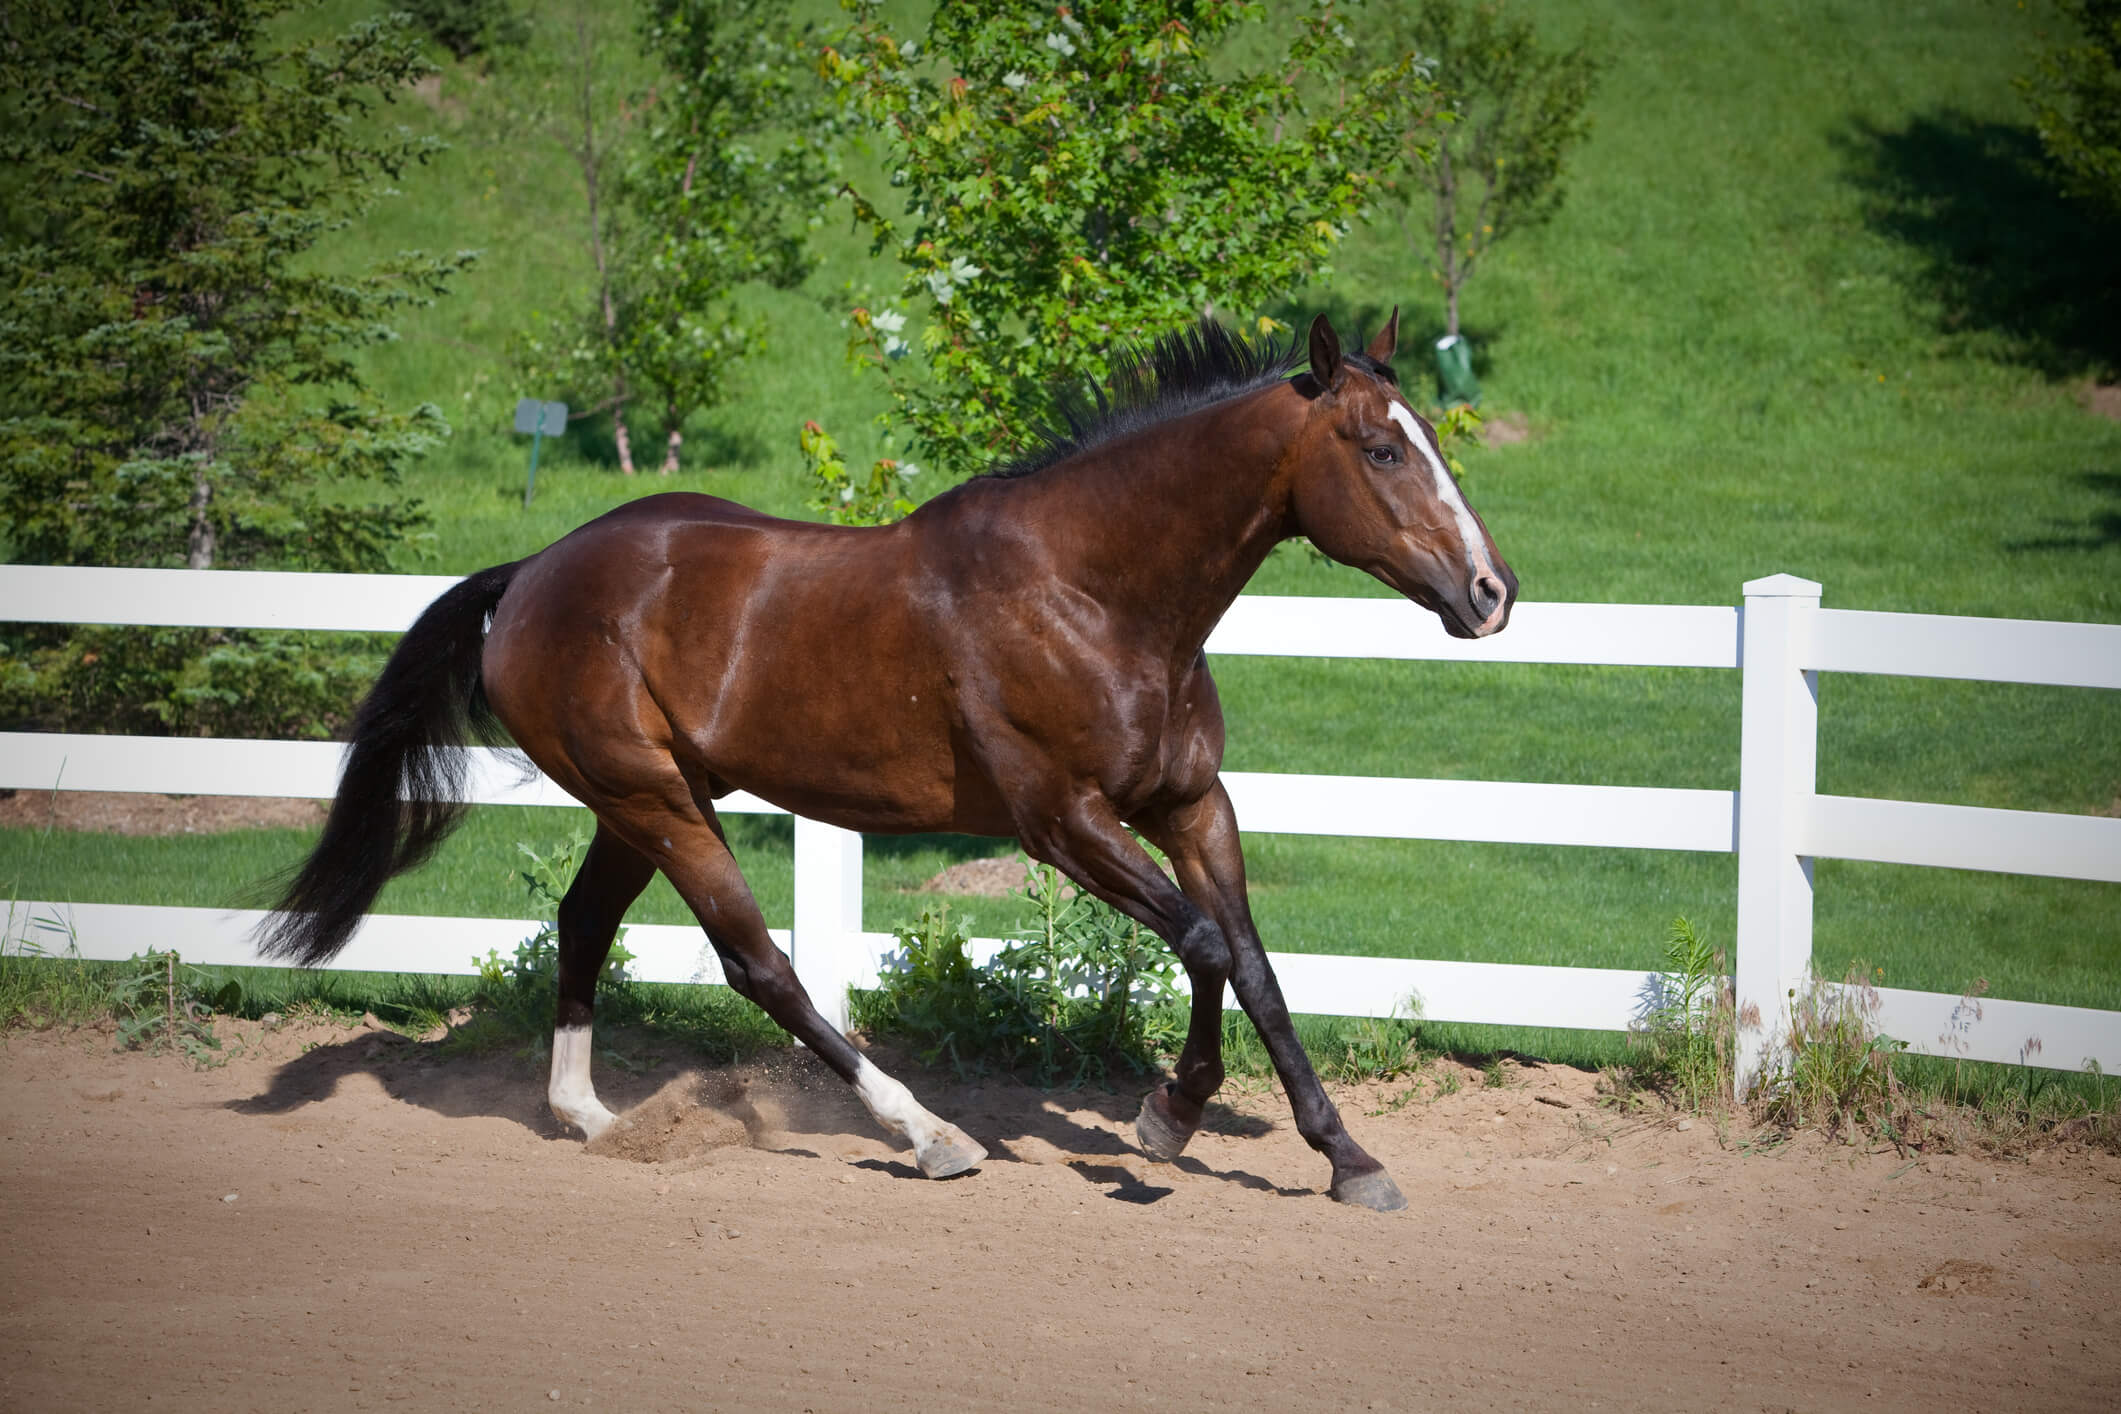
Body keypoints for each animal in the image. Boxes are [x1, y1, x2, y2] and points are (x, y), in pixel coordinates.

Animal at [258, 310, 1516, 1211]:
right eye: (1382, 449)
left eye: (1433, 443)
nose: (1491, 592)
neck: (1095, 592)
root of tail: (528, 576)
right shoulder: (1062, 820)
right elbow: (1204, 945)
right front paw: (1165, 1116)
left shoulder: (1191, 804)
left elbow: (1254, 966)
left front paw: (1350, 1159)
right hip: (654, 799)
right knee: (759, 964)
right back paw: (927, 1133)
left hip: (648, 799)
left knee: (584, 922)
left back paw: (596, 1121)